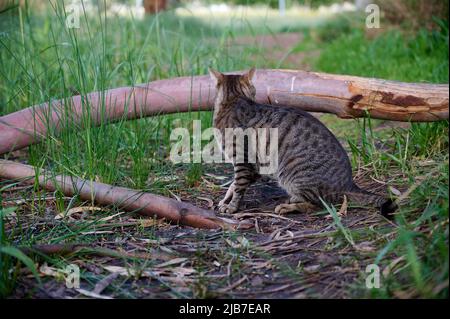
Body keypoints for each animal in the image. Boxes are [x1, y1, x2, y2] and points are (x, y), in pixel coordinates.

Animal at [209, 67, 396, 218]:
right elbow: (233, 185)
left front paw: (232, 207)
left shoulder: (243, 160)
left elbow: (238, 186)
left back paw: (287, 207)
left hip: (294, 175)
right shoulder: (255, 166)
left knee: (318, 205)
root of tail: (350, 184)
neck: (233, 100)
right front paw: (225, 200)